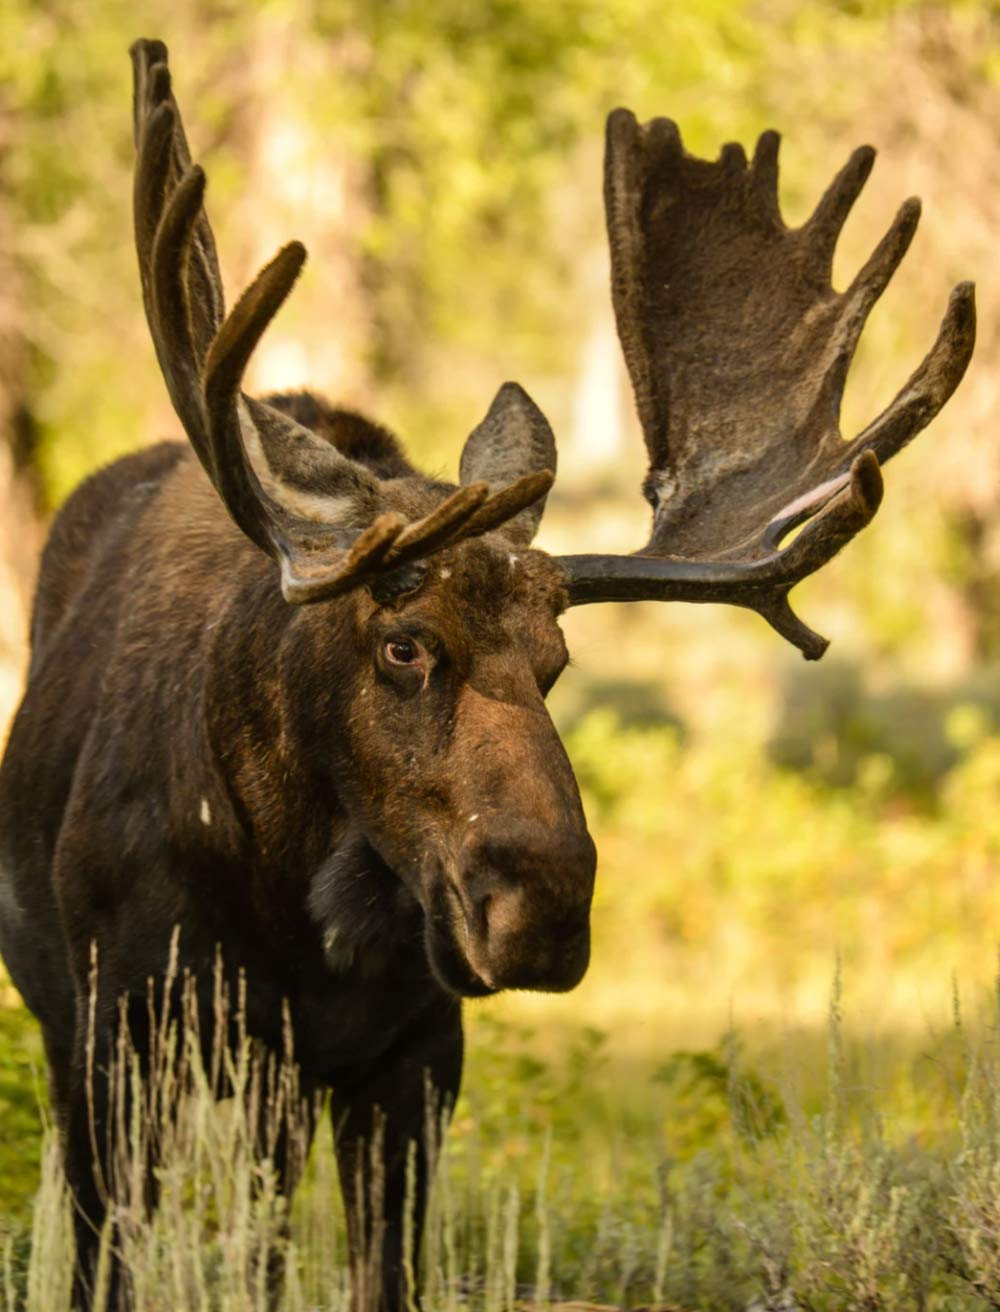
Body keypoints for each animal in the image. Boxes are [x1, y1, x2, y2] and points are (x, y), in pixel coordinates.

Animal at [0, 37, 975, 1312]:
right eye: (403, 643)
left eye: (556, 663)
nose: (545, 906)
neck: (282, 889)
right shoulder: (120, 1029)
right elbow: (111, 1263)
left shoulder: (413, 1057)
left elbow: (380, 1272)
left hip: (274, 1093)